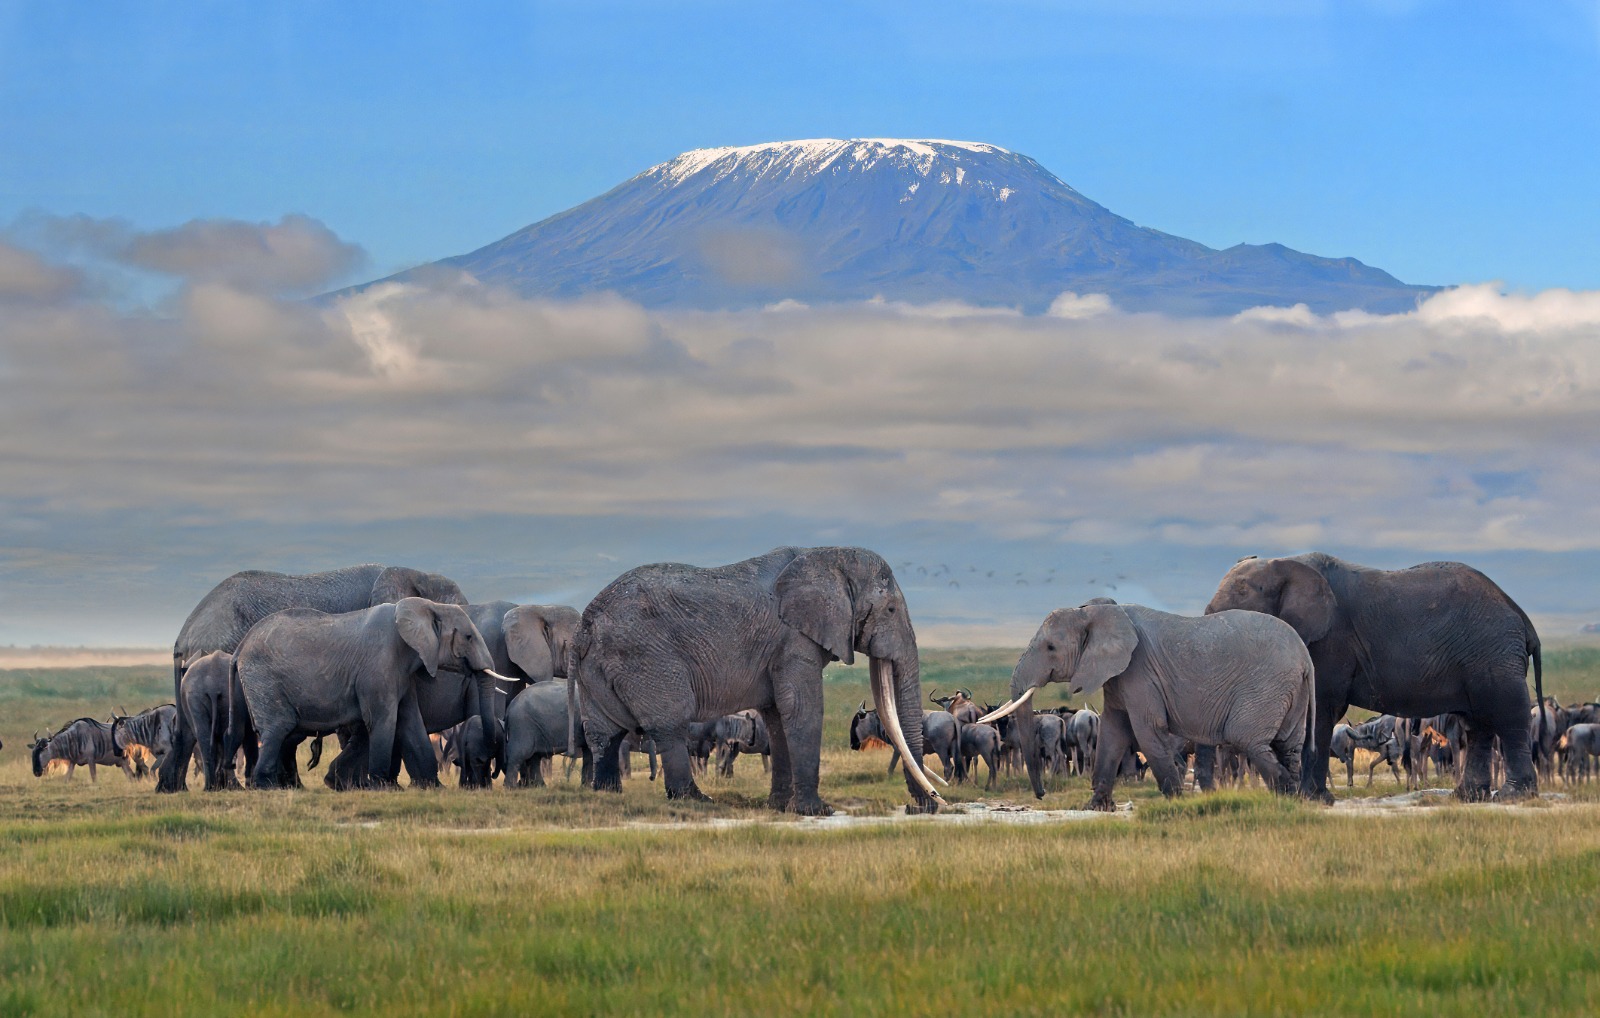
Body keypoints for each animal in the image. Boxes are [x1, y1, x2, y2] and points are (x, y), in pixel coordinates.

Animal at [236, 597, 505, 789]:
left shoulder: (401, 674)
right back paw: (266, 786)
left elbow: (410, 721)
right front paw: (382, 787)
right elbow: (384, 720)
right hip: (264, 680)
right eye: (468, 637)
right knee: (278, 728)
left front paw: (434, 788)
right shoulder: (378, 668)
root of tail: (241, 645)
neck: (427, 606)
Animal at [572, 546, 941, 815]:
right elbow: (803, 709)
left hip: (599, 669)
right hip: (645, 659)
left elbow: (777, 718)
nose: (920, 806)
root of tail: (586, 622)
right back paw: (695, 800)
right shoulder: (793, 641)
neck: (826, 557)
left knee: (605, 731)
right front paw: (817, 812)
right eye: (890, 610)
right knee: (669, 724)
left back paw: (608, 794)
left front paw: (779, 807)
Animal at [984, 602, 1314, 810]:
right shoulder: (1117, 677)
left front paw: (1177, 803)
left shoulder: (1140, 672)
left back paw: (1286, 797)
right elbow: (1113, 732)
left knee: (1250, 741)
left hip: (1266, 687)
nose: (1040, 795)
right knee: (1288, 746)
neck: (1092, 612)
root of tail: (1305, 657)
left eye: (1051, 647)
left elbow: (1147, 730)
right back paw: (1293, 800)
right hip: (1291, 691)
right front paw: (1097, 807)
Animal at [1205, 553, 1542, 802]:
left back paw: (1513, 796)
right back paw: (1468, 796)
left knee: (1508, 716)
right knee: (1477, 725)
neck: (1284, 563)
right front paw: (1307, 798)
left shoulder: (1330, 640)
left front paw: (1311, 799)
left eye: (1237, 601)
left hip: (1494, 655)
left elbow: (1321, 708)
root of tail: (1520, 614)